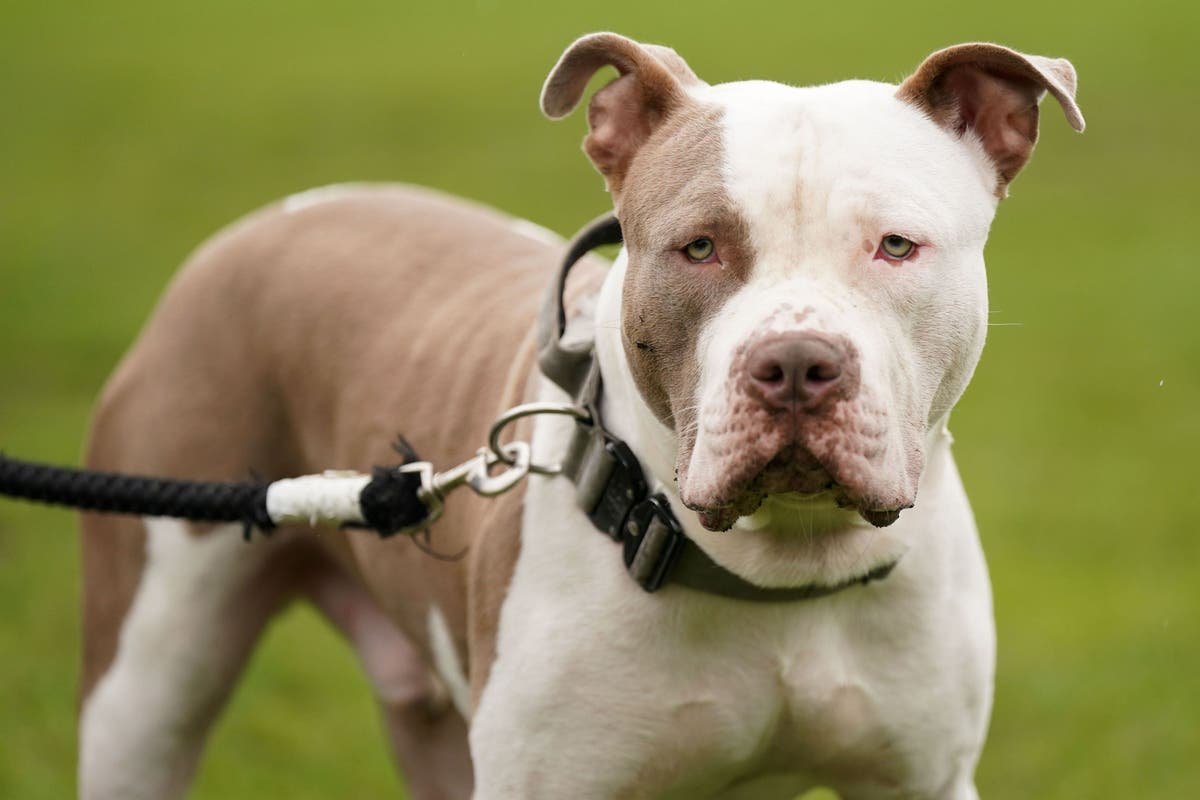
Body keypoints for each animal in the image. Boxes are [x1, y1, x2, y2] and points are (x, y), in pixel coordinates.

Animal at [79, 31, 1084, 800]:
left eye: (896, 246)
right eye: (699, 247)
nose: (797, 365)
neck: (780, 570)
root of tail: (270, 221)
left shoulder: (924, 777)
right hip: (144, 684)